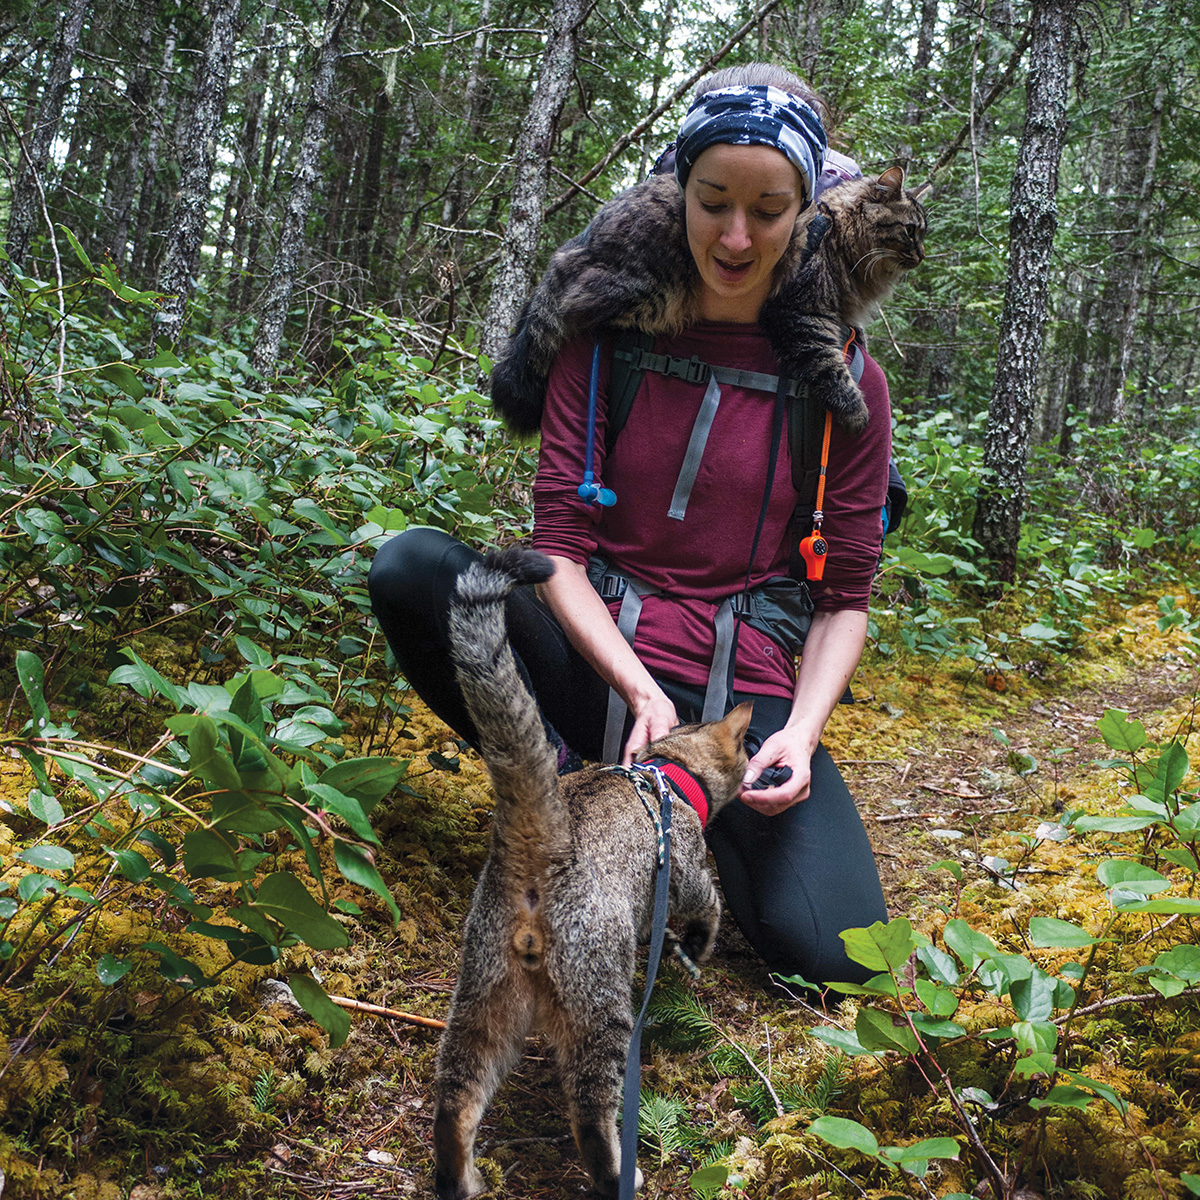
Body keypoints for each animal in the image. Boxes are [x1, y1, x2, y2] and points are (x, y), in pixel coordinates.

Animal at [432, 549, 748, 1195]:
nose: (759, 758)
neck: (669, 774)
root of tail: (544, 842)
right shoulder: (688, 874)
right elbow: (708, 908)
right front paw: (696, 950)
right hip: (599, 1003)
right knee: (590, 1111)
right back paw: (618, 1175)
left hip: (483, 994)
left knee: (456, 1096)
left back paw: (460, 1178)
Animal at [492, 164, 931, 436]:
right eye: (911, 231)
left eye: (923, 233)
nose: (922, 256)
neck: (839, 234)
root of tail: (573, 246)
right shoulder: (798, 309)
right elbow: (828, 365)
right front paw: (855, 411)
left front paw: (857, 335)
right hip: (652, 291)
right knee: (575, 306)